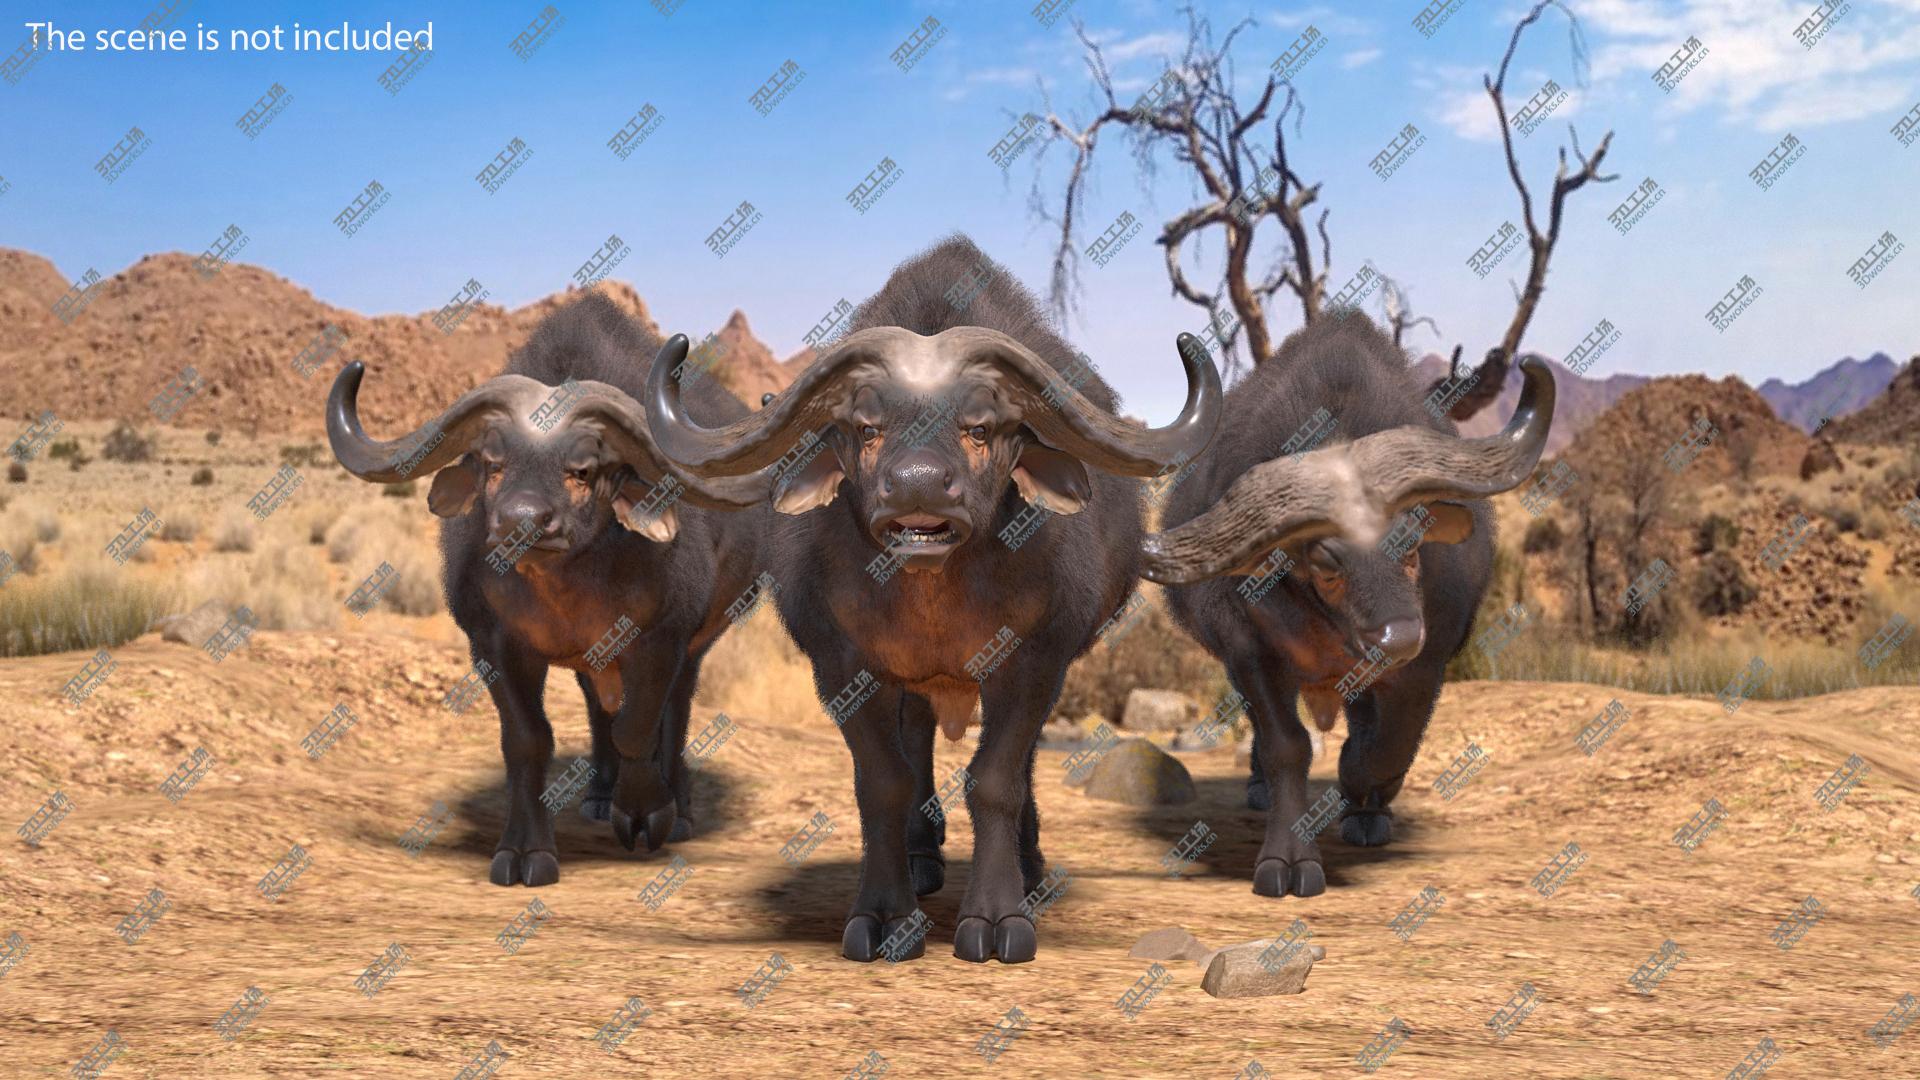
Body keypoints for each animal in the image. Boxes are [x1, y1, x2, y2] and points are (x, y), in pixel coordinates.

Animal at [326, 293, 770, 884]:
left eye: (582, 470)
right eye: (493, 463)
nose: (521, 521)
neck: (566, 590)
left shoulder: (662, 639)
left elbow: (639, 728)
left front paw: (645, 812)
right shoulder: (493, 646)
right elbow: (528, 740)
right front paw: (524, 850)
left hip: (700, 641)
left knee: (674, 710)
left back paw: (675, 808)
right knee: (597, 704)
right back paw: (600, 795)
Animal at [644, 236, 1221, 963]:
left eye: (983, 427)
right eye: (866, 427)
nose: (918, 485)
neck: (933, 599)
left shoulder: (1036, 661)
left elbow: (997, 777)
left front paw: (999, 916)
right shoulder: (841, 668)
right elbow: (882, 781)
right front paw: (885, 915)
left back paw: (1029, 865)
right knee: (916, 736)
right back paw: (921, 858)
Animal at [1144, 311, 1553, 898]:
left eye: (1412, 543)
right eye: (1325, 564)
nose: (1398, 636)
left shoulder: (1426, 664)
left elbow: (1387, 746)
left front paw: (1361, 798)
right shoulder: (1247, 652)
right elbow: (1287, 746)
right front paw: (1288, 858)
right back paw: (1260, 788)